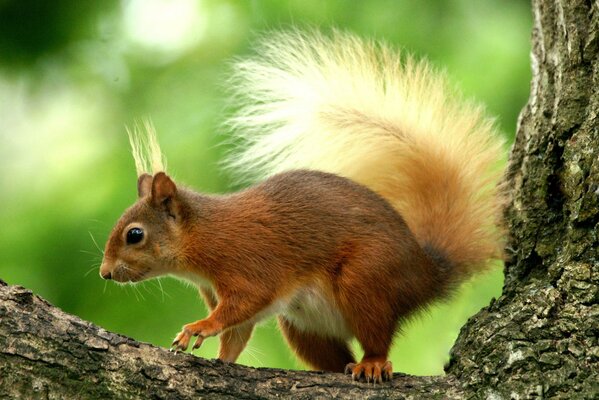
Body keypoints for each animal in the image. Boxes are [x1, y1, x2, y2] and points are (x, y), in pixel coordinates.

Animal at [99, 29, 506, 382]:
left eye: (134, 235)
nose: (105, 273)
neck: (204, 236)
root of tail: (426, 273)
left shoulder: (248, 264)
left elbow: (240, 307)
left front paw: (200, 327)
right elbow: (237, 333)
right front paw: (222, 358)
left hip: (366, 278)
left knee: (376, 337)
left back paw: (373, 363)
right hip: (302, 324)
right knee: (337, 357)